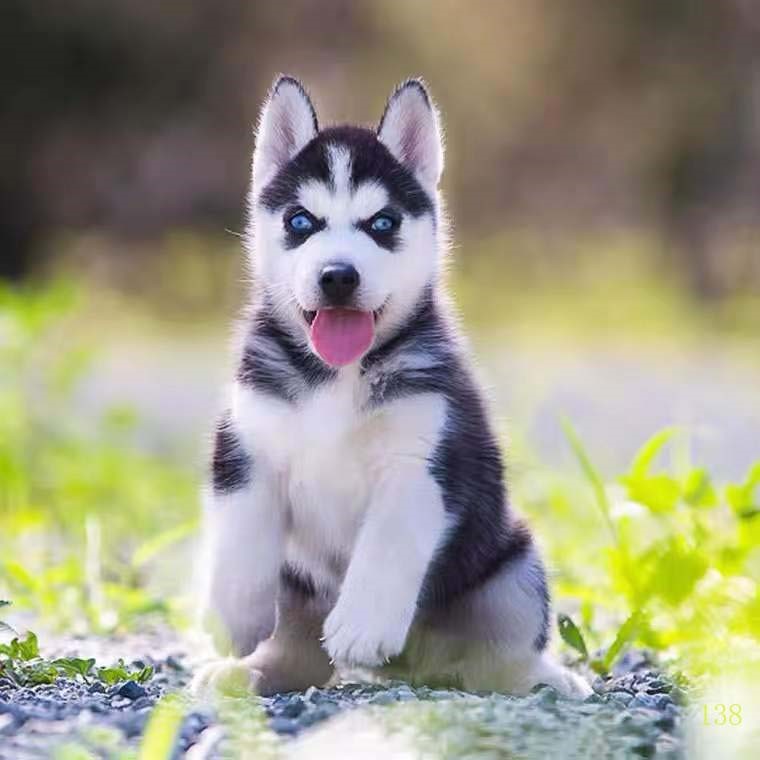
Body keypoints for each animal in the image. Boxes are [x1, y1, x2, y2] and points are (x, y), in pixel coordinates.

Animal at [194, 77, 588, 700]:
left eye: (382, 224)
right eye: (300, 222)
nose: (337, 276)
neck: (336, 375)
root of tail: (416, 668)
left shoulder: (420, 463)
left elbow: (388, 544)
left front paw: (362, 626)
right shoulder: (245, 446)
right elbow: (237, 538)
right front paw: (232, 620)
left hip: (514, 564)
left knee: (503, 656)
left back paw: (544, 678)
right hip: (298, 581)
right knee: (302, 653)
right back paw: (250, 671)